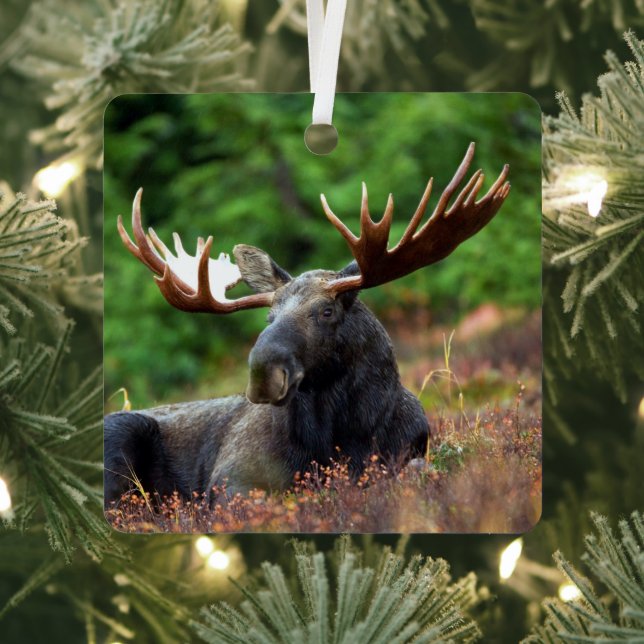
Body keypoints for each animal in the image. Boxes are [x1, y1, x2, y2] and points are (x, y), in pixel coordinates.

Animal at [104, 143, 510, 506]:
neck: (343, 437)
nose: (263, 374)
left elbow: (417, 472)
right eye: (270, 316)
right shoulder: (231, 476)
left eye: (327, 311)